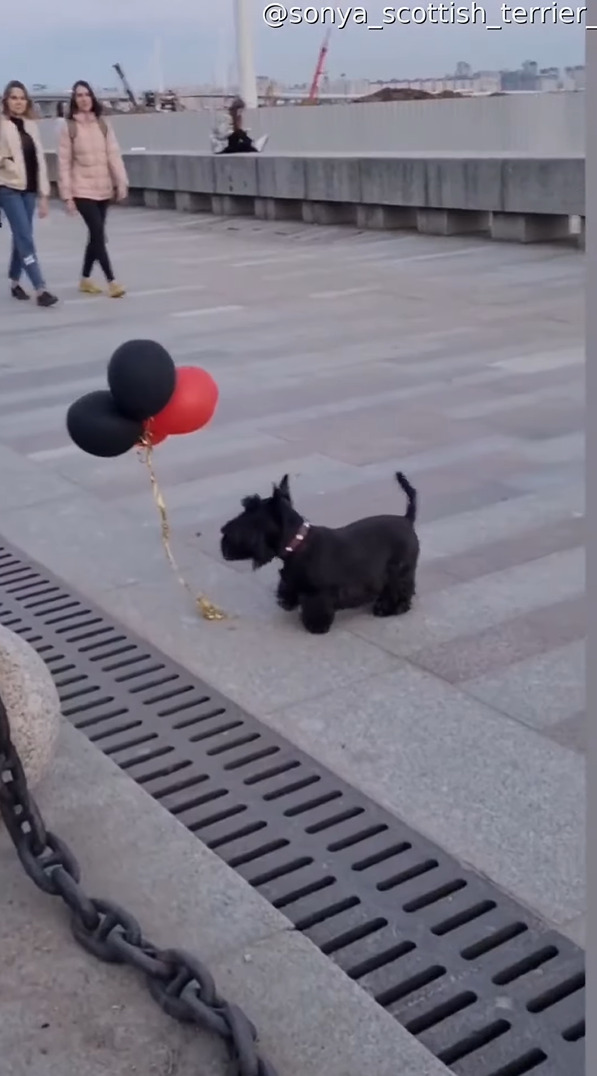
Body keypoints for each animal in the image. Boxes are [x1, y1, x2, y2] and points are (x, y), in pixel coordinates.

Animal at [220, 469, 419, 628]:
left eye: (251, 512)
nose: (224, 532)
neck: (298, 543)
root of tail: (407, 520)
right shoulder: (291, 581)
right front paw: (288, 603)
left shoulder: (319, 594)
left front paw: (316, 626)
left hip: (400, 571)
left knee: (402, 590)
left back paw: (391, 608)